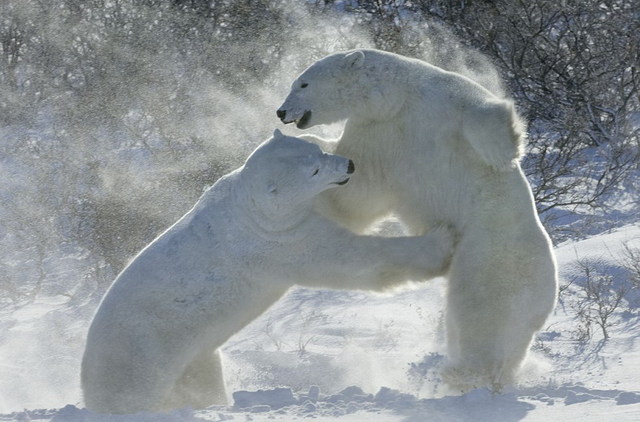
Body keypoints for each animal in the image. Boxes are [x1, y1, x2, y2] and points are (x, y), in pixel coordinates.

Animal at [81, 129, 456, 412]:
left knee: (201, 378)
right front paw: (442, 240)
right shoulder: (281, 241)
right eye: (313, 171)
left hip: (192, 358)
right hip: (140, 357)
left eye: (316, 151)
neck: (249, 205)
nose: (348, 164)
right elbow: (351, 258)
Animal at [278, 49, 556, 392]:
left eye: (303, 83)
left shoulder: (444, 100)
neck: (395, 100)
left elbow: (487, 116)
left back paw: (463, 373)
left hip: (493, 257)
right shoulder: (376, 133)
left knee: (483, 314)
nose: (281, 111)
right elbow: (358, 192)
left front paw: (503, 152)